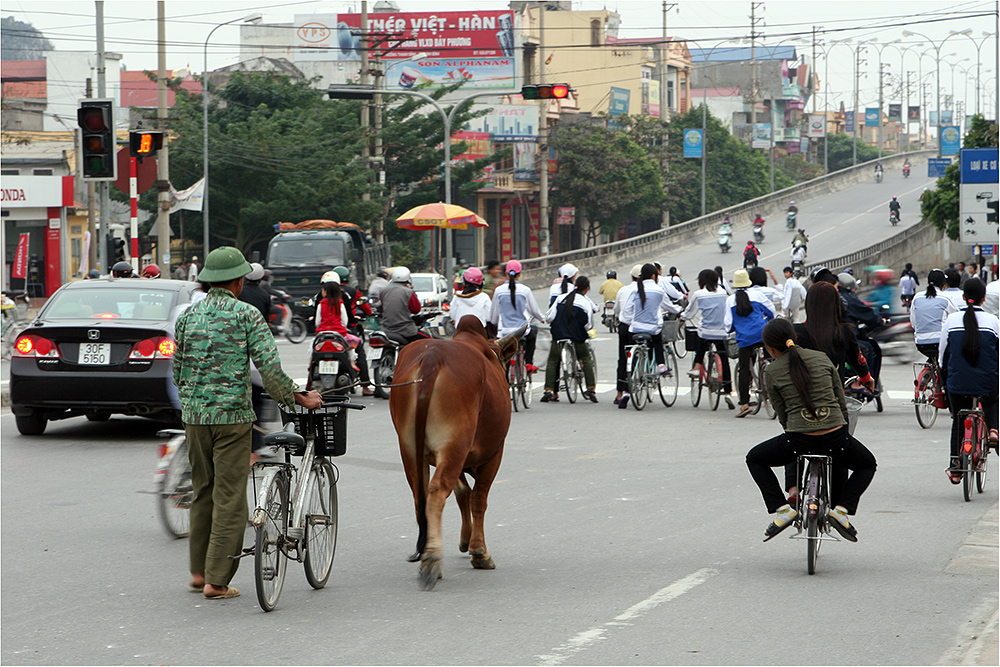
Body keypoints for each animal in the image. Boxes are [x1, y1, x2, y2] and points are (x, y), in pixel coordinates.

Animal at [386, 316, 524, 592]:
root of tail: (432, 357)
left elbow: (463, 493)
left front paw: (466, 540)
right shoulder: (494, 453)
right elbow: (478, 498)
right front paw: (479, 551)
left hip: (411, 449)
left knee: (421, 496)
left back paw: (427, 555)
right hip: (454, 444)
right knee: (438, 490)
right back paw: (431, 561)